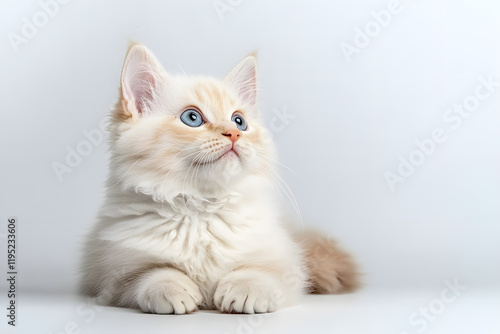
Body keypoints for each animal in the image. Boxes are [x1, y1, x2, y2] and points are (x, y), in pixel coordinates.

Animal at [80, 42, 358, 314]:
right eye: (192, 118)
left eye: (239, 121)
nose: (233, 133)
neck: (202, 207)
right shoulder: (110, 274)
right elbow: (152, 273)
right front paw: (173, 291)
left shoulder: (286, 266)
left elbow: (258, 272)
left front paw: (245, 292)